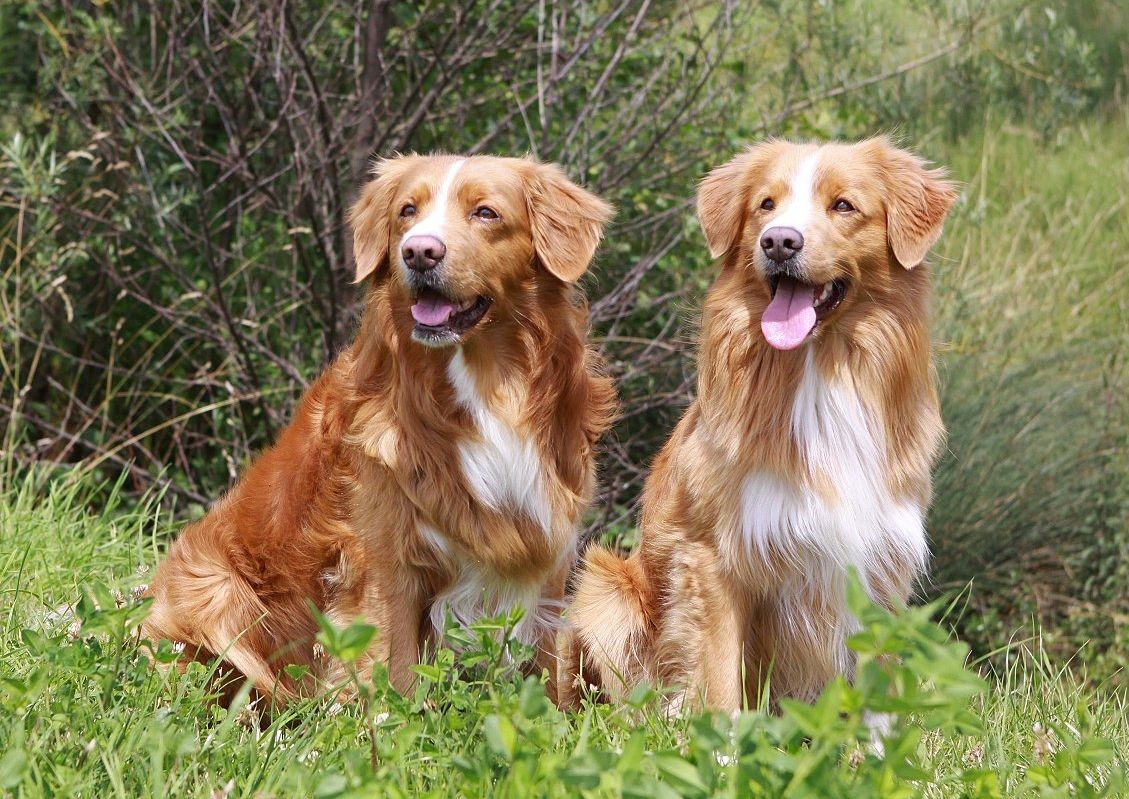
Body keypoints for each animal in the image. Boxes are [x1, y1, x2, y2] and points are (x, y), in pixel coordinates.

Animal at [143, 153, 618, 704]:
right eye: (407, 211)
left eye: (486, 213)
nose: (419, 252)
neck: (486, 384)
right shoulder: (382, 558)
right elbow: (394, 670)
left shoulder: (547, 552)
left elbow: (542, 668)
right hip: (216, 587)